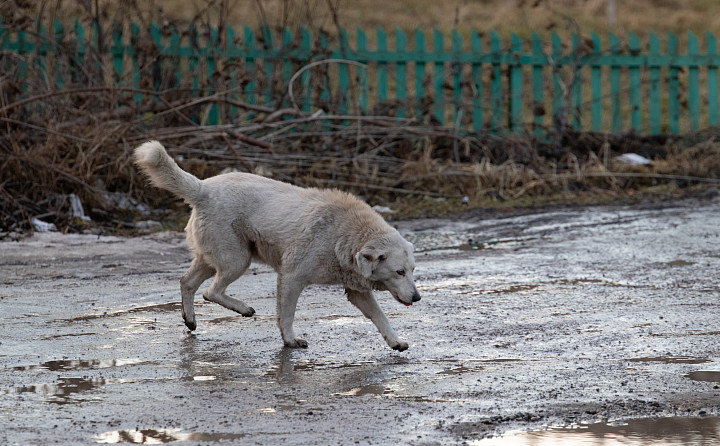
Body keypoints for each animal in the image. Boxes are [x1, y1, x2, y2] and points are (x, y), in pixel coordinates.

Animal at [134, 141, 422, 350]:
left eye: (412, 271)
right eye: (399, 272)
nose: (417, 297)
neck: (344, 234)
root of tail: (203, 188)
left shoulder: (357, 292)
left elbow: (381, 317)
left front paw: (396, 342)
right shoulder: (292, 277)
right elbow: (287, 315)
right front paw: (291, 340)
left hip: (214, 258)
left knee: (188, 283)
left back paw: (191, 320)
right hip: (237, 260)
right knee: (211, 291)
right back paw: (243, 309)